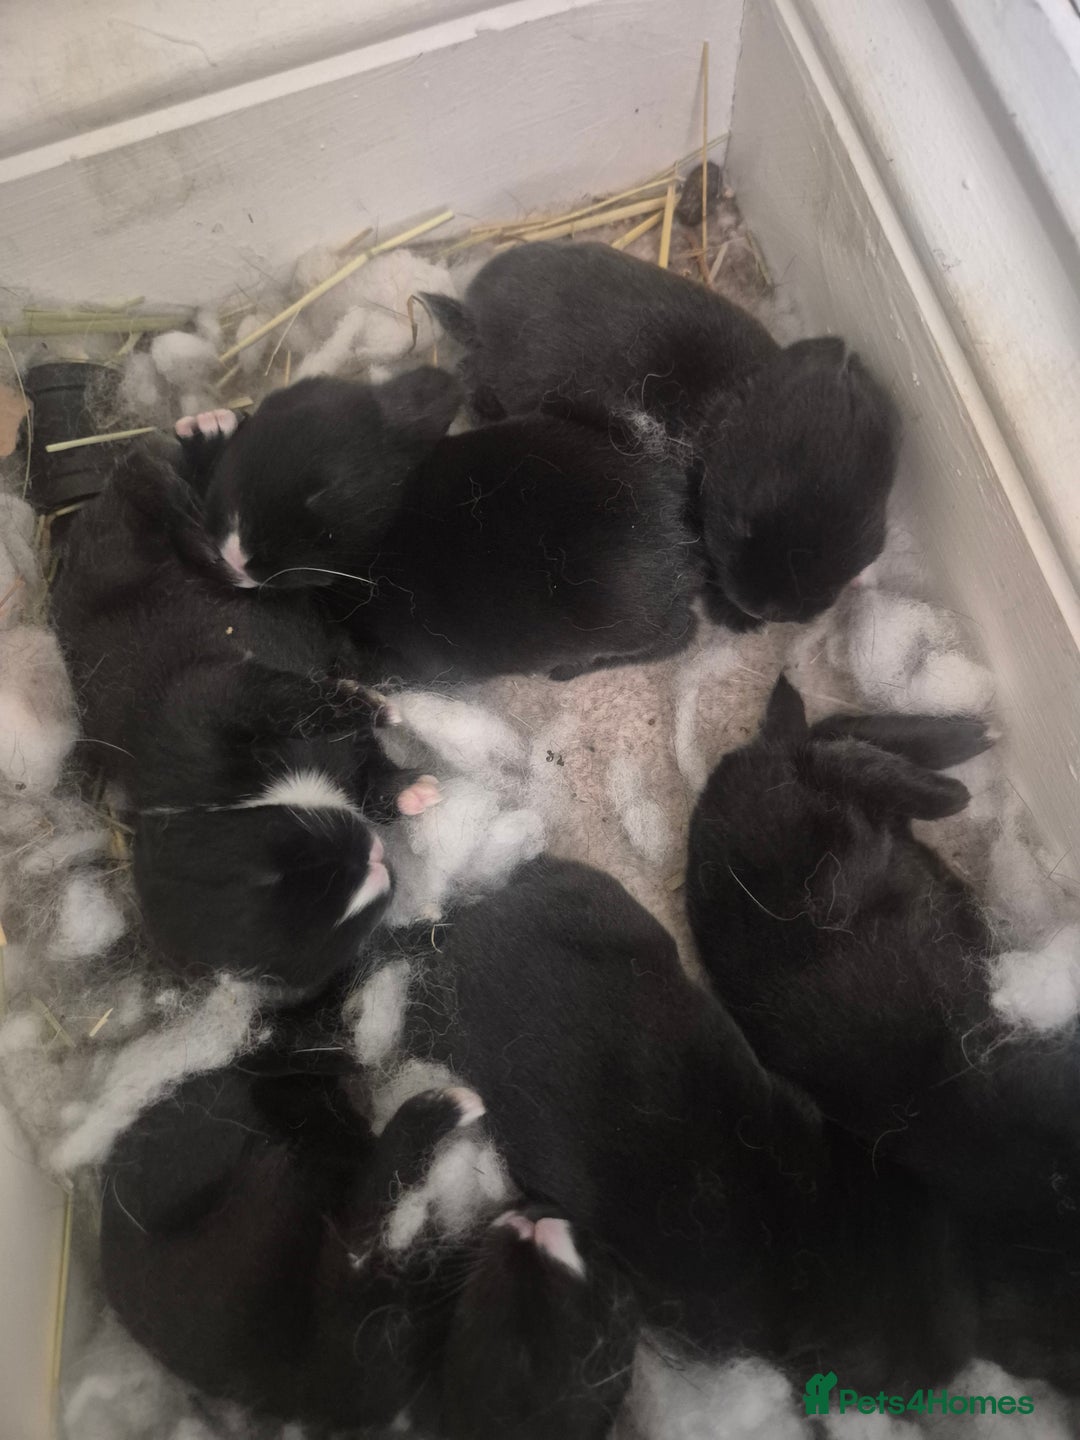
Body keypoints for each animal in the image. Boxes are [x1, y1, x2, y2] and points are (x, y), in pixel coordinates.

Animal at [51, 441, 439, 995]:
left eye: (274, 871)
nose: (375, 860)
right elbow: (362, 770)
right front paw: (407, 792)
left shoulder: (205, 706)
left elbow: (286, 702)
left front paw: (370, 710)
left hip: (138, 517)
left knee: (156, 485)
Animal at [192, 372, 700, 683]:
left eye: (323, 493)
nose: (232, 556)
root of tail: (670, 517)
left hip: (624, 620)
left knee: (681, 633)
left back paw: (569, 671)